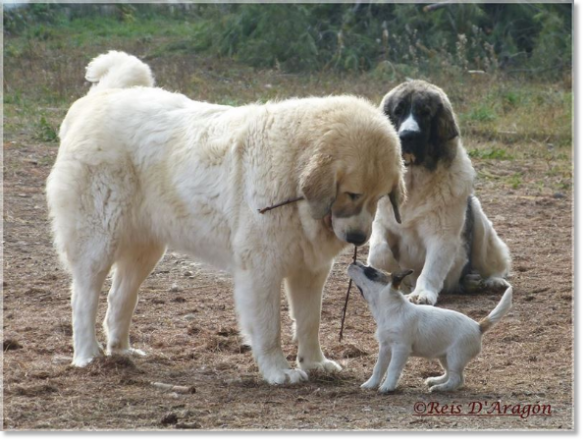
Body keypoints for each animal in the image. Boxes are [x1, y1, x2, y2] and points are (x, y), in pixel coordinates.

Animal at [46, 51, 406, 384]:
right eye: (352, 194)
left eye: (378, 198)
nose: (359, 238)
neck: (293, 169)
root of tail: (100, 98)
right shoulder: (261, 269)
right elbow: (269, 327)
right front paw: (278, 371)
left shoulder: (310, 270)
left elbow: (309, 322)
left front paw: (315, 363)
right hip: (98, 241)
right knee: (84, 297)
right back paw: (87, 355)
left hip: (145, 248)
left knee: (119, 297)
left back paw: (121, 351)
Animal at [346, 260, 512, 392]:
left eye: (371, 272)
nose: (353, 262)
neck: (390, 310)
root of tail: (478, 326)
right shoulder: (385, 347)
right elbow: (378, 368)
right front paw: (371, 384)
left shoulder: (400, 348)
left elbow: (392, 369)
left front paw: (387, 387)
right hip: (445, 357)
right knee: (452, 375)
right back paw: (436, 380)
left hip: (455, 357)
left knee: (457, 379)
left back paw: (440, 388)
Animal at [370, 80, 512, 304]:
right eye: (398, 111)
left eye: (425, 113)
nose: (407, 136)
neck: (414, 180)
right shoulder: (381, 223)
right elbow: (378, 252)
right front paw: (397, 277)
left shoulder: (442, 234)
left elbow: (431, 268)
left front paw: (420, 293)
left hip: (479, 220)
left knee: (495, 263)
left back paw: (490, 280)